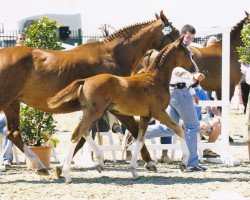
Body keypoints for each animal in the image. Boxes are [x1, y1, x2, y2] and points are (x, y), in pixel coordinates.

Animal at [0, 10, 180, 175]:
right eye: (175, 33)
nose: (182, 43)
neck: (112, 55)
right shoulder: (115, 108)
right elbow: (135, 131)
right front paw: (149, 162)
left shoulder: (99, 109)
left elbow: (83, 136)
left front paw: (65, 165)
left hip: (12, 104)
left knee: (13, 133)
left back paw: (40, 166)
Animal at [47, 36, 194, 183]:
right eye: (187, 53)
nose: (195, 68)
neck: (155, 79)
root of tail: (84, 81)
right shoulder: (158, 112)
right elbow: (179, 130)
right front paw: (183, 163)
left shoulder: (145, 116)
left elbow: (140, 139)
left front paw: (134, 170)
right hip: (94, 112)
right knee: (77, 134)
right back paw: (68, 174)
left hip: (95, 113)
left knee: (84, 131)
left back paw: (98, 161)